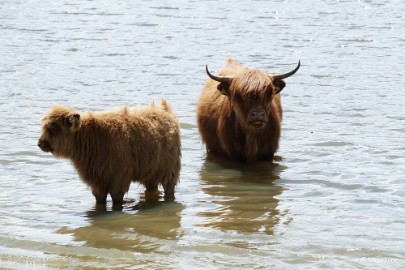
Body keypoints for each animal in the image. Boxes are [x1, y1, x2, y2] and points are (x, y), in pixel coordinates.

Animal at [37, 99, 180, 205]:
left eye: (53, 128)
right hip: (151, 171)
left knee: (169, 188)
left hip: (170, 168)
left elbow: (116, 200)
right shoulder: (97, 182)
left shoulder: (119, 178)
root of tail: (165, 110)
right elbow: (100, 200)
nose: (40, 143)